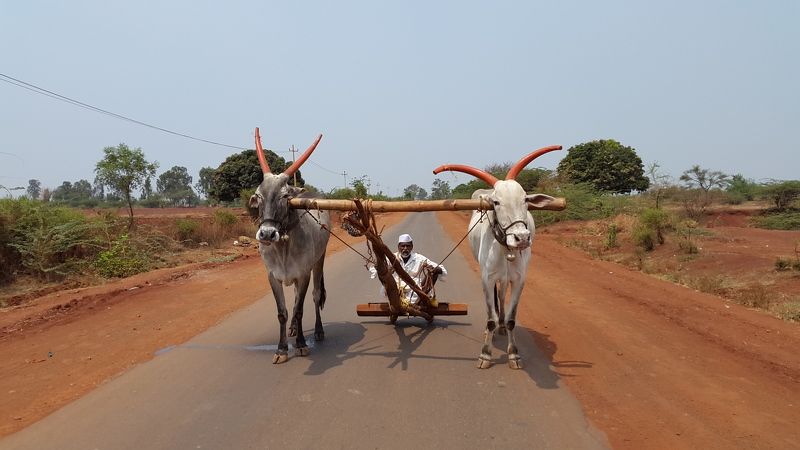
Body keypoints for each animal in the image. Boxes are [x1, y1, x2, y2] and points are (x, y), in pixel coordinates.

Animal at [247, 128, 331, 364]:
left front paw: (301, 345)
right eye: (258, 195)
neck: (283, 247)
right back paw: (293, 328)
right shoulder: (273, 277)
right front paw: (282, 348)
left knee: (315, 295)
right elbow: (282, 312)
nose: (267, 233)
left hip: (319, 261)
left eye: (284, 196)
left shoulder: (303, 274)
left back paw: (318, 331)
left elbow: (301, 309)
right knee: (293, 300)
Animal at [433, 146, 561, 369]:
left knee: (501, 297)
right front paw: (485, 354)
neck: (505, 247)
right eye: (496, 202)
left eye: (525, 199)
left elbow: (511, 319)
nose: (522, 238)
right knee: (494, 301)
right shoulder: (487, 277)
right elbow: (490, 318)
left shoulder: (519, 279)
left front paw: (513, 354)